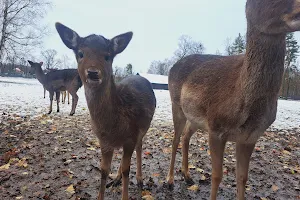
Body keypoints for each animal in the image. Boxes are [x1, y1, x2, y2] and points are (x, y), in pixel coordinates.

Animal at [55, 22, 157, 200]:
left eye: (107, 56)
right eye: (81, 53)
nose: (93, 72)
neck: (112, 126)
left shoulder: (132, 135)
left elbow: (127, 170)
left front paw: (125, 195)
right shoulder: (104, 141)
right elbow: (103, 170)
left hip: (144, 128)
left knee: (139, 148)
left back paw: (139, 179)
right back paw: (115, 179)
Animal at [165, 0, 300, 199]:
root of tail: (172, 67)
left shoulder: (250, 137)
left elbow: (242, 178)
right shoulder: (216, 127)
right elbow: (217, 175)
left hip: (196, 119)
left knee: (185, 136)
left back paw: (188, 176)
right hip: (176, 105)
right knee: (175, 140)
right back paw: (169, 181)